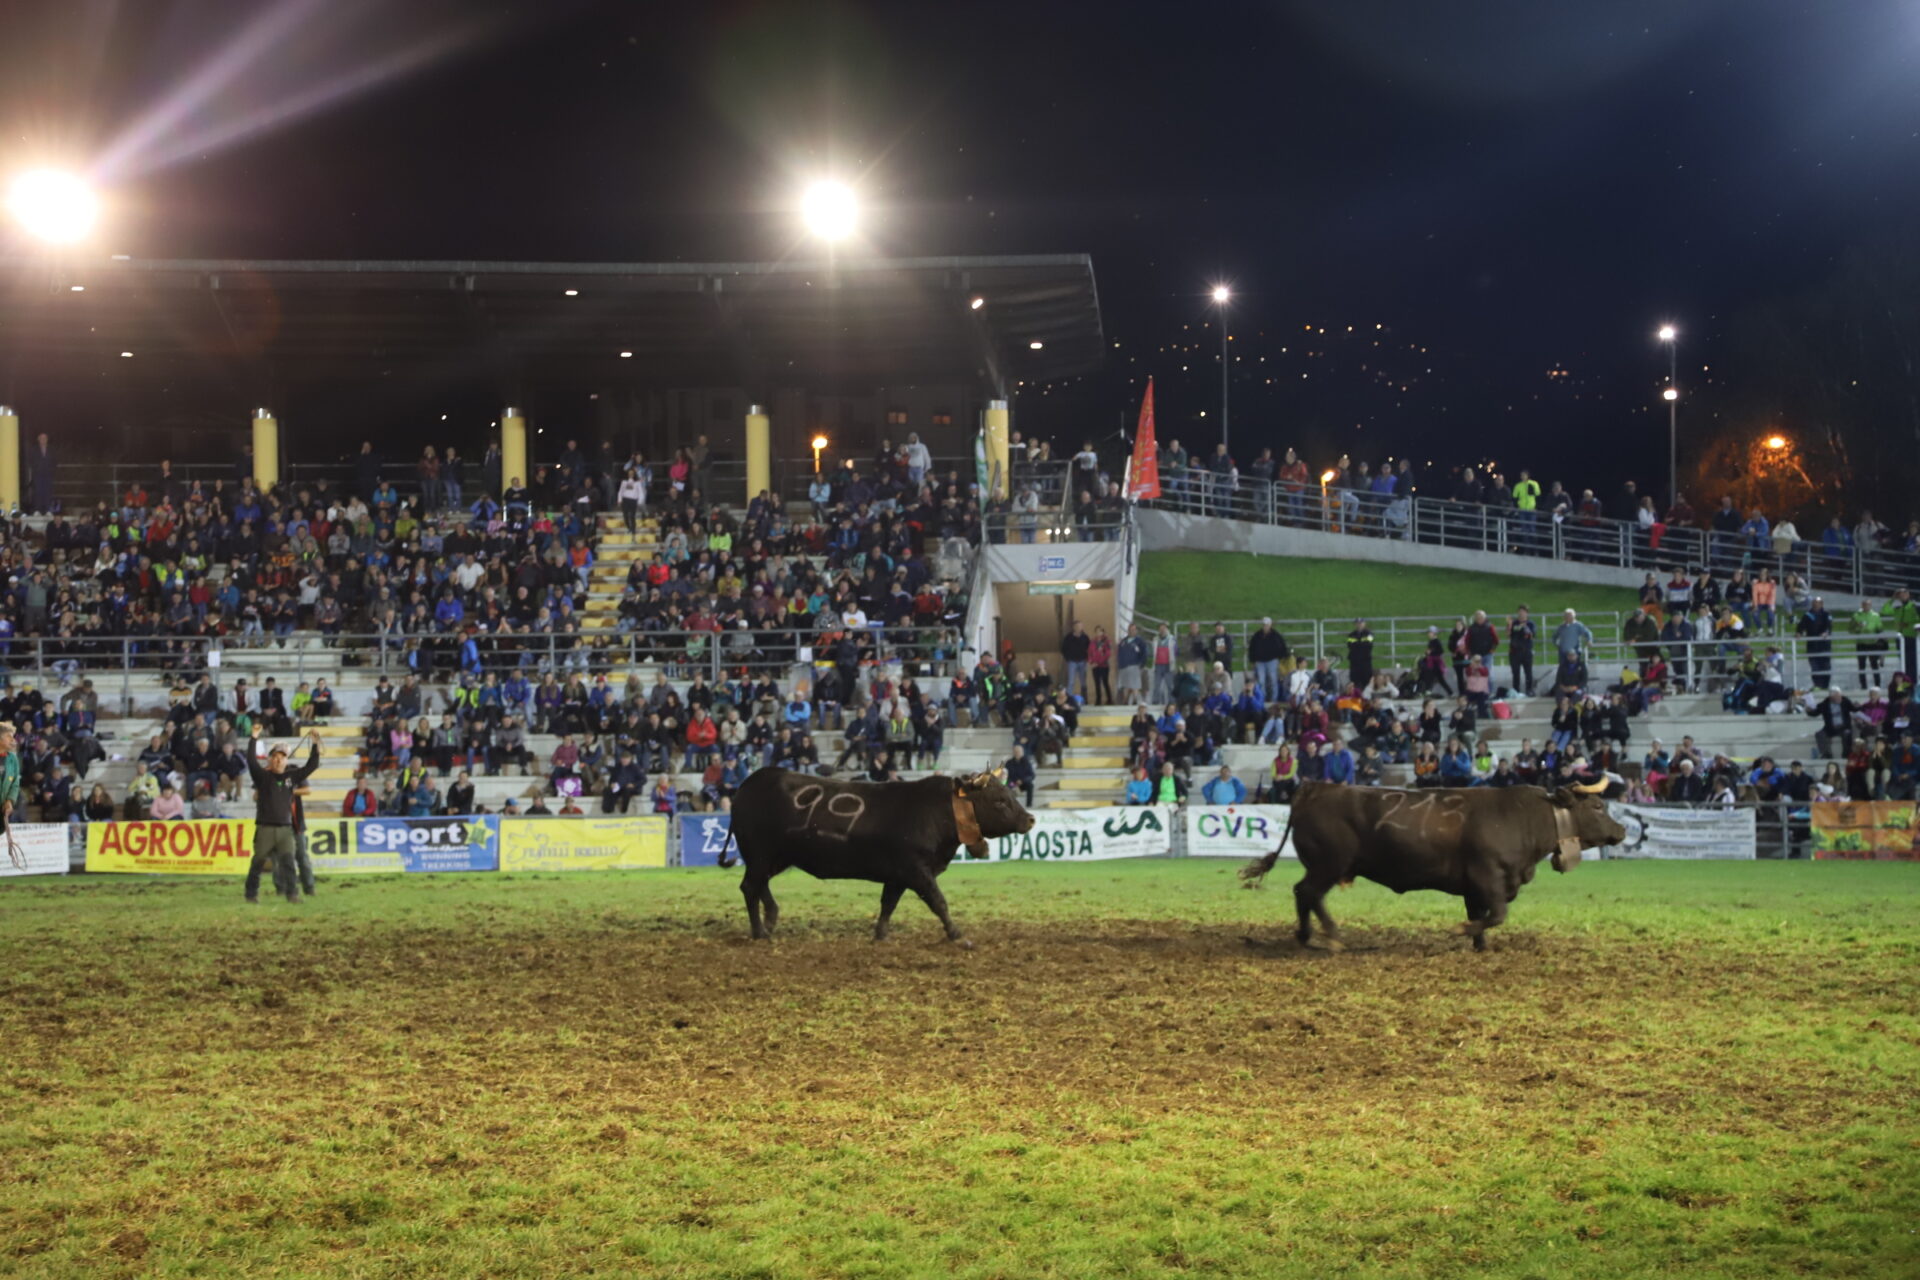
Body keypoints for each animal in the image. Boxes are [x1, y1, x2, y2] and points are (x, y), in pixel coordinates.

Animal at [718, 767, 1036, 948]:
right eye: (1000, 800)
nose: (1031, 819)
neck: (938, 811)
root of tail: (747, 785)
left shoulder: (898, 875)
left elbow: (888, 904)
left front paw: (881, 934)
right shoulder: (917, 870)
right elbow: (938, 902)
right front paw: (957, 935)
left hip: (773, 857)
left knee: (760, 886)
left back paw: (771, 919)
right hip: (761, 854)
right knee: (750, 887)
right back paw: (760, 931)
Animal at [1236, 782, 1628, 951]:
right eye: (1596, 806)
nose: (1622, 830)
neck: (1525, 816)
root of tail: (1316, 787)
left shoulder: (1474, 886)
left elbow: (1482, 916)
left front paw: (1479, 945)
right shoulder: (1488, 876)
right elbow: (1497, 914)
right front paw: (1461, 931)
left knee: (1302, 894)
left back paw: (1306, 936)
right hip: (1329, 864)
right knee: (1309, 893)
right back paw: (1330, 936)